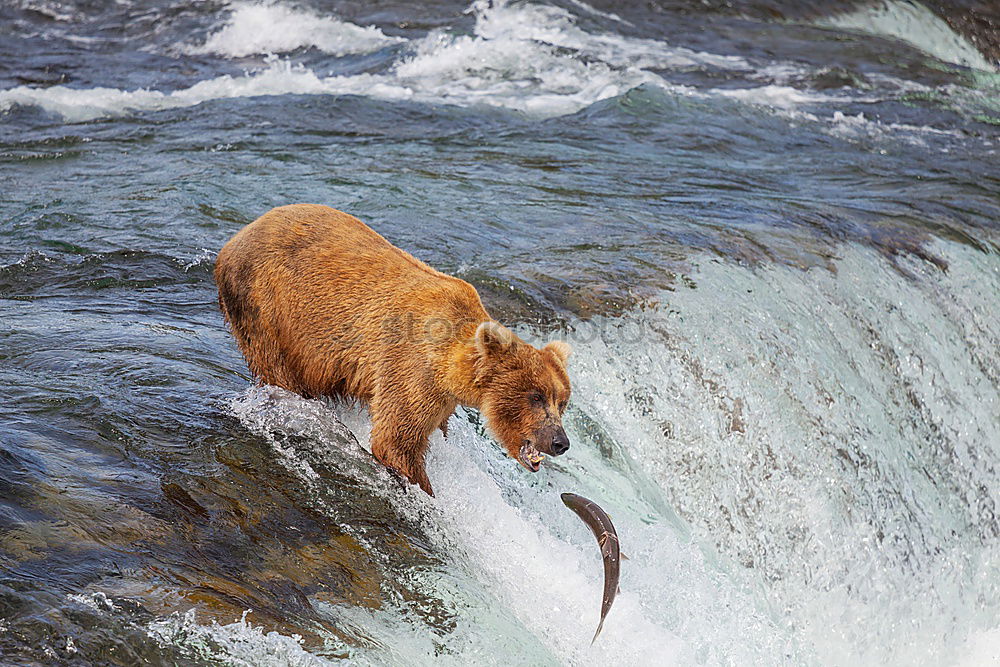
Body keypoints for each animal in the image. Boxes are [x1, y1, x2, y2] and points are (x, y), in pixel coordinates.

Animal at [213, 205, 572, 496]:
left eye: (562, 401)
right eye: (536, 396)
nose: (560, 442)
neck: (450, 368)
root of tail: (237, 236)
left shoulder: (441, 396)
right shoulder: (411, 369)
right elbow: (396, 440)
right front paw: (425, 489)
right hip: (265, 308)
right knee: (278, 370)